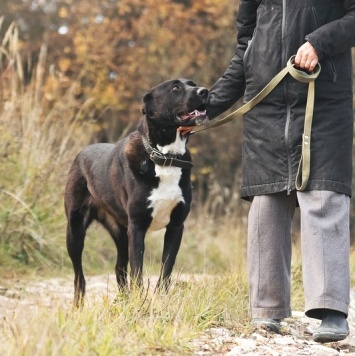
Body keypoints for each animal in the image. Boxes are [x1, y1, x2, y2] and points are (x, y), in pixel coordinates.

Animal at [64, 78, 209, 306]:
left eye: (192, 83)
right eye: (175, 87)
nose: (205, 91)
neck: (165, 157)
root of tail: (81, 153)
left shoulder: (176, 226)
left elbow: (166, 268)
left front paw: (160, 300)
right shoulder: (137, 227)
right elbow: (137, 271)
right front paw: (140, 303)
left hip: (122, 233)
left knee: (119, 269)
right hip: (75, 229)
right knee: (79, 275)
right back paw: (79, 306)